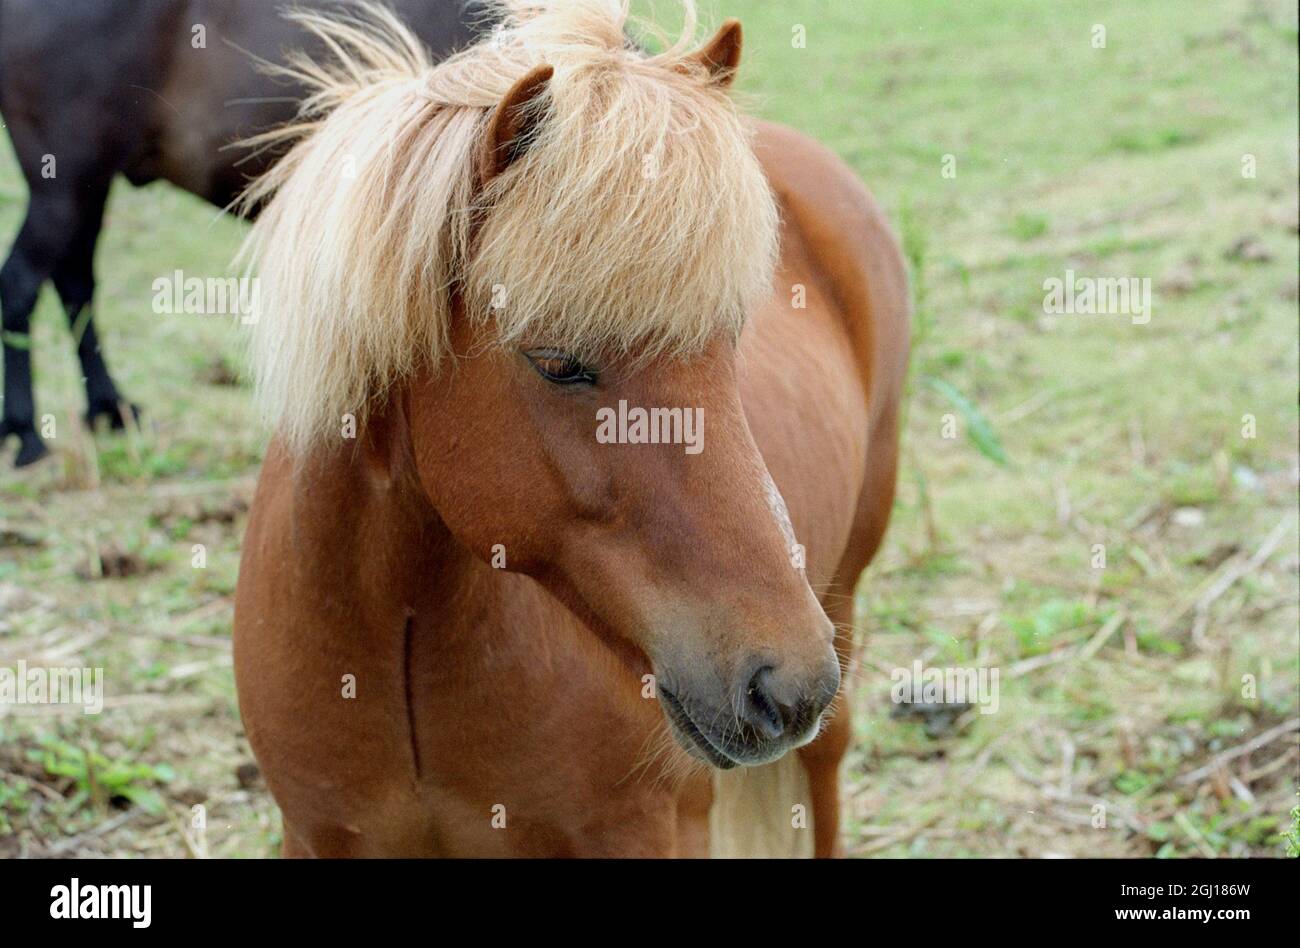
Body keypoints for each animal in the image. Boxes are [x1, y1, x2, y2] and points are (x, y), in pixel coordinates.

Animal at [0, 0, 486, 466]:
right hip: (63, 184)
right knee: (21, 286)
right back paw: (27, 435)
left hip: (87, 188)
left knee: (74, 284)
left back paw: (110, 409)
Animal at [232, 0, 909, 858]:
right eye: (557, 362)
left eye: (731, 339)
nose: (786, 686)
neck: (402, 640)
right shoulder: (316, 834)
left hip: (842, 599)